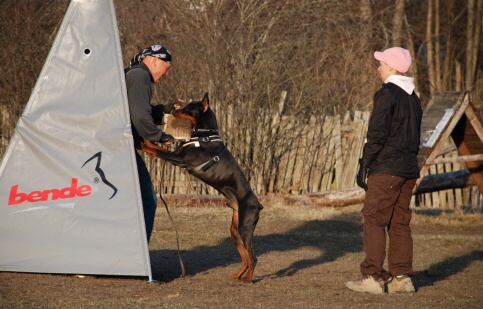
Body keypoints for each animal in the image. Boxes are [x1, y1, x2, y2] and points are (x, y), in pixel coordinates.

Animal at [136, 92, 264, 282]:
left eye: (189, 108)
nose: (173, 110)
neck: (205, 134)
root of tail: (258, 204)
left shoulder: (180, 159)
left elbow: (156, 150)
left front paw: (140, 142)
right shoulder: (178, 155)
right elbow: (156, 146)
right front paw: (144, 139)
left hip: (245, 226)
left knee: (253, 257)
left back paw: (248, 279)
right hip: (234, 230)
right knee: (245, 257)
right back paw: (237, 275)